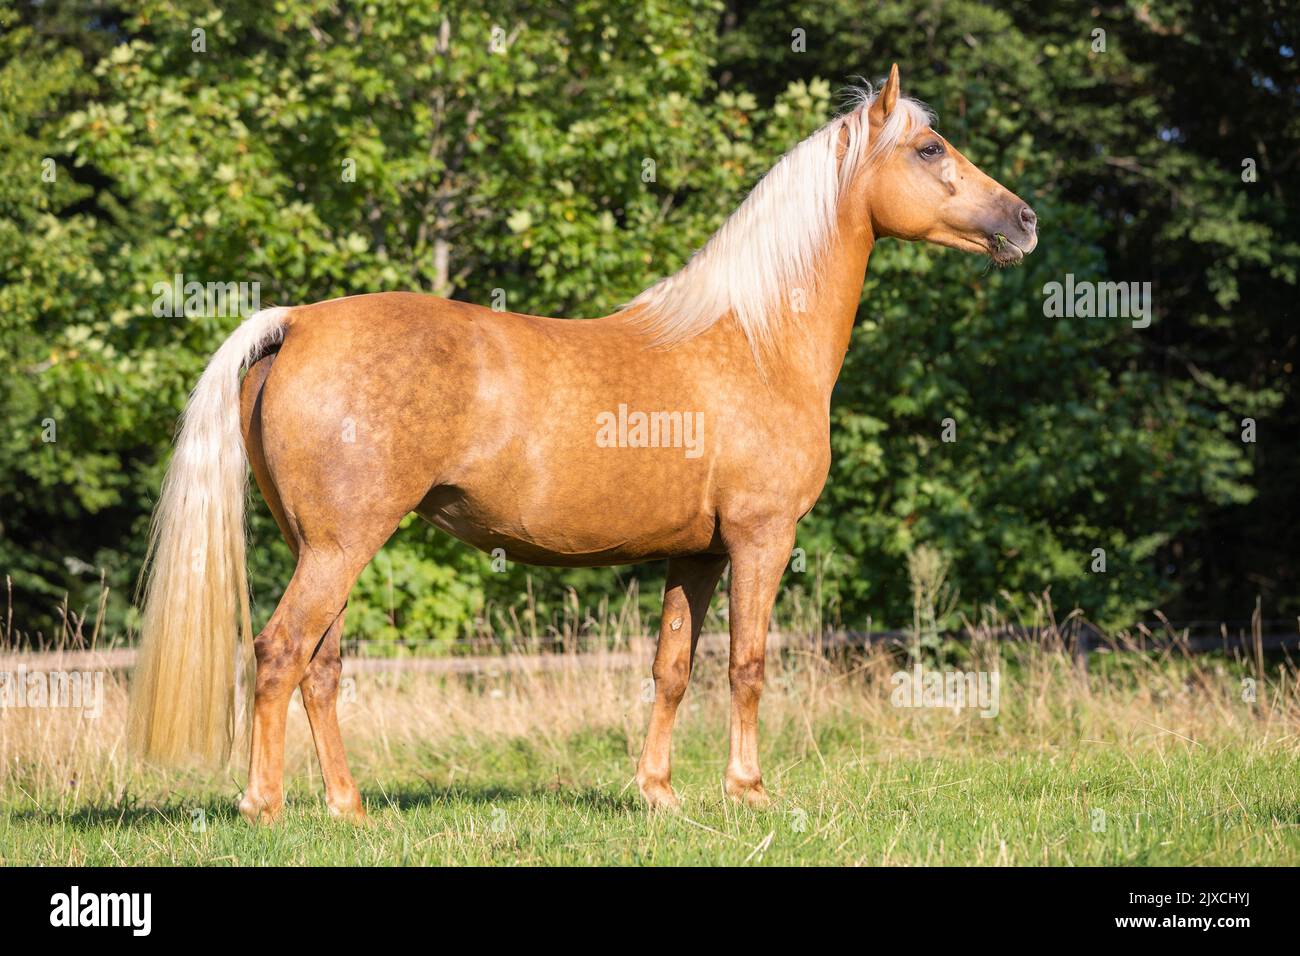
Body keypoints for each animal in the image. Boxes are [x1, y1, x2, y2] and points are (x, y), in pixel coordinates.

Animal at [129, 65, 1034, 822]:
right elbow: (747, 666)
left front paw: (659, 793)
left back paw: (348, 808)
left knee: (320, 666)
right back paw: (265, 806)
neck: (754, 339)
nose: (1024, 221)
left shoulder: (696, 555)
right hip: (340, 546)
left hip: (322, 547)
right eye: (928, 148)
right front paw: (748, 791)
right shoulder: (762, 539)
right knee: (279, 653)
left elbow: (672, 670)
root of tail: (300, 321)